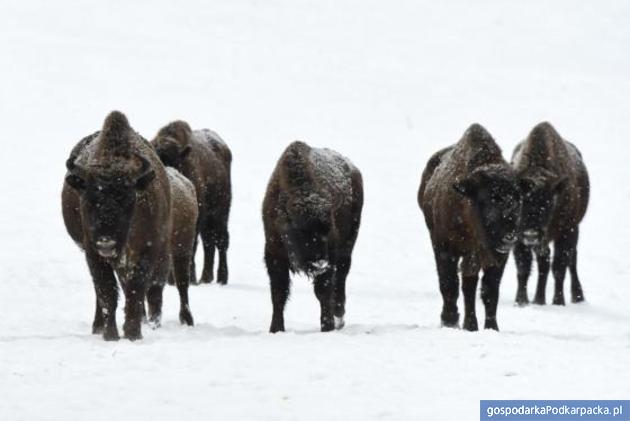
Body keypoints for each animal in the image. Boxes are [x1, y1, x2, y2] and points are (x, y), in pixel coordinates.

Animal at [62, 110, 198, 338]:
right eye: (88, 199)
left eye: (127, 199)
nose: (106, 243)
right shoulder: (93, 252)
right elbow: (107, 292)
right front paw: (111, 334)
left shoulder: (148, 249)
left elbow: (137, 288)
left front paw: (133, 333)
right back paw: (98, 326)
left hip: (177, 249)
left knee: (175, 284)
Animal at [152, 121, 233, 286]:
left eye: (176, 162)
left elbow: (191, 246)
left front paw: (189, 278)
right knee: (209, 242)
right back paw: (205, 278)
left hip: (221, 213)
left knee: (221, 241)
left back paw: (221, 278)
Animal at [264, 143, 366, 334]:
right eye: (299, 230)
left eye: (327, 230)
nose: (320, 263)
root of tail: (354, 170)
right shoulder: (274, 255)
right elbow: (279, 292)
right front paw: (276, 328)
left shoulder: (331, 256)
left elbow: (323, 291)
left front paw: (327, 326)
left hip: (347, 247)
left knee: (341, 279)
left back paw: (339, 317)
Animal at [420, 123, 524, 330]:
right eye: (486, 200)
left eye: (518, 198)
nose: (509, 236)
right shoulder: (448, 247)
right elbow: (458, 284)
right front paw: (464, 324)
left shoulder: (497, 257)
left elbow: (490, 290)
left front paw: (492, 327)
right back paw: (450, 319)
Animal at [512, 121, 592, 306]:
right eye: (521, 201)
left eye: (548, 204)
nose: (531, 234)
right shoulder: (518, 235)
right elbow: (523, 267)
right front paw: (521, 301)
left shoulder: (566, 231)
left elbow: (559, 267)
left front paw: (558, 302)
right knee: (544, 262)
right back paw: (538, 300)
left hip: (571, 230)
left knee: (571, 261)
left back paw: (577, 296)